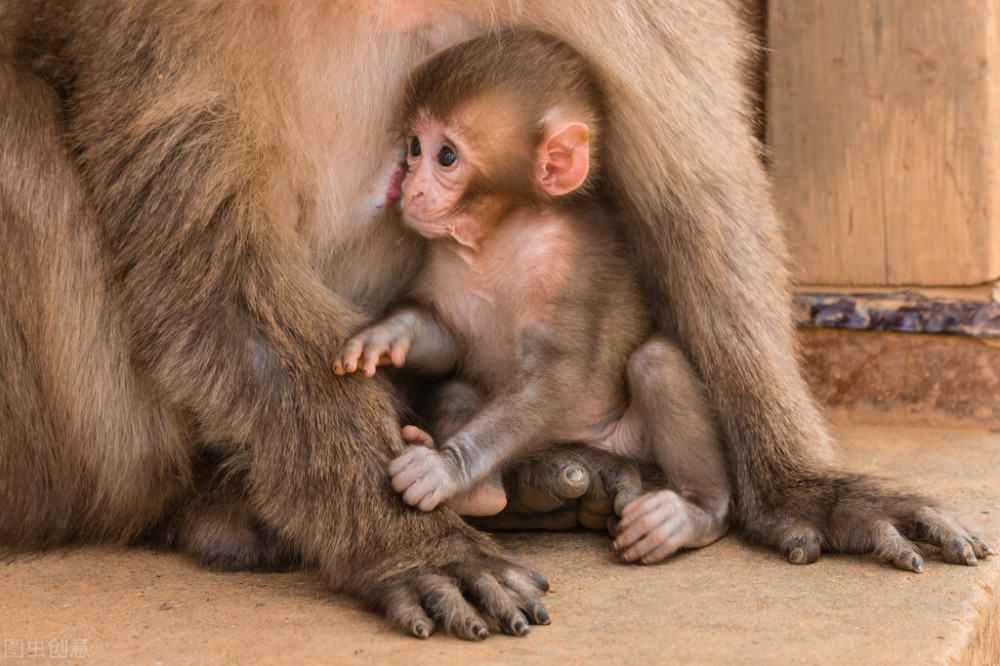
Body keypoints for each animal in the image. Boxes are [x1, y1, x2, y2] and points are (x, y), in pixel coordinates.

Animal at [332, 29, 732, 560]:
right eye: (415, 146)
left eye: (446, 156)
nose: (410, 188)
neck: (498, 233)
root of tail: (591, 448)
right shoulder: (442, 262)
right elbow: (449, 344)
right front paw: (385, 336)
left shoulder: (567, 262)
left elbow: (556, 376)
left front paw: (445, 469)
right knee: (458, 388)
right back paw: (482, 493)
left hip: (630, 443)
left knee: (656, 362)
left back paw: (695, 513)